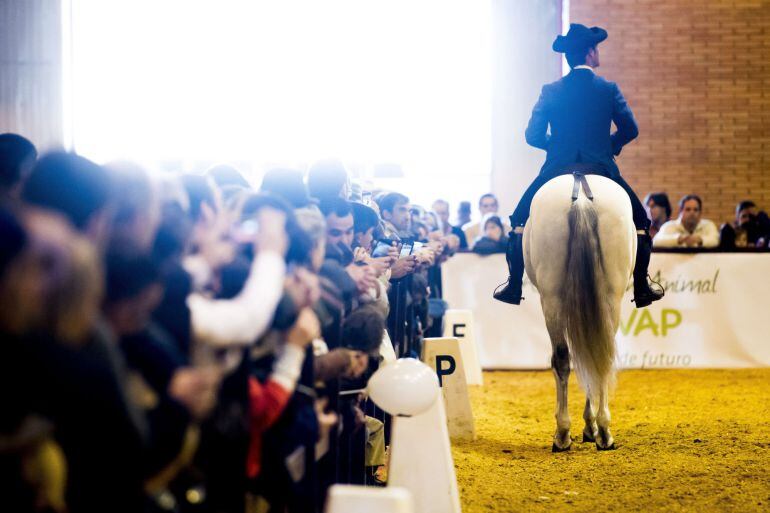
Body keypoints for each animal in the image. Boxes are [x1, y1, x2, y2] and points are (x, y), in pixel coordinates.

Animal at [520, 174, 636, 450]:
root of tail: (582, 197)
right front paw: (590, 426)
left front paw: (585, 426)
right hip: (610, 298)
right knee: (599, 357)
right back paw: (603, 432)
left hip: (551, 298)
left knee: (567, 358)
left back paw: (566, 434)